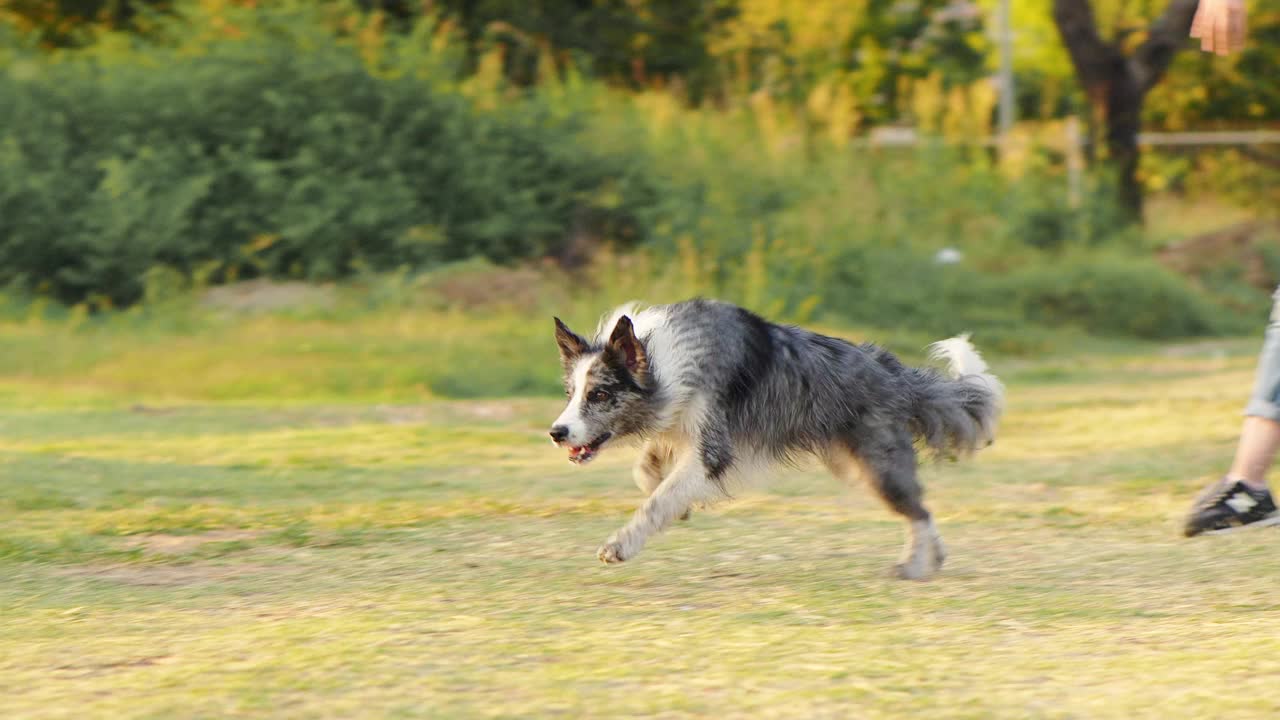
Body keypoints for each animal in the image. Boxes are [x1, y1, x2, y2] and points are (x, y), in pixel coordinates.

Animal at [545, 297, 1003, 576]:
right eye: (570, 393)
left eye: (599, 394)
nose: (556, 433)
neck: (661, 362)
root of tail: (893, 372)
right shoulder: (679, 430)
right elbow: (648, 474)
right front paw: (679, 502)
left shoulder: (713, 449)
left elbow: (658, 500)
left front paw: (622, 544)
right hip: (853, 466)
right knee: (919, 509)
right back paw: (931, 559)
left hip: (877, 466)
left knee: (919, 510)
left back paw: (916, 566)